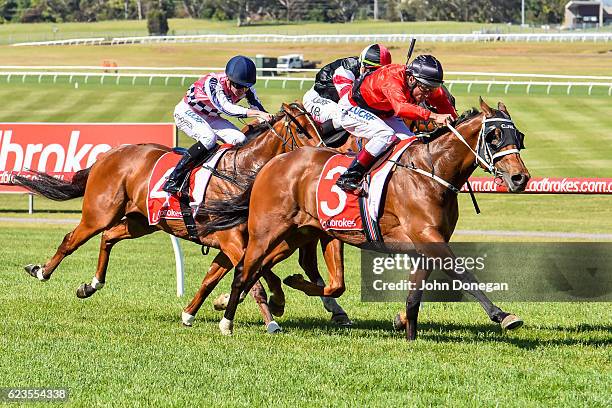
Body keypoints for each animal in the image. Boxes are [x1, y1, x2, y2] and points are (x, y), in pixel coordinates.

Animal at [14, 102, 356, 332]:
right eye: (302, 129)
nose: (328, 154)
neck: (241, 175)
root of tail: (110, 154)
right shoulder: (232, 240)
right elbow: (253, 275)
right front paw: (270, 316)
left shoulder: (236, 242)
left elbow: (223, 276)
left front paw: (195, 312)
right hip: (99, 212)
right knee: (71, 239)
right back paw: (41, 271)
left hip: (141, 222)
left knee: (109, 237)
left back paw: (92, 284)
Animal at [206, 97, 532, 340]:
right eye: (494, 136)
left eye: (519, 136)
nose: (520, 178)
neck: (431, 170)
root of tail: (272, 162)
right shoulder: (428, 236)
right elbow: (463, 273)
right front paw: (503, 315)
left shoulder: (424, 245)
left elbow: (414, 296)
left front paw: (409, 333)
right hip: (266, 230)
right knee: (244, 270)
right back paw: (228, 322)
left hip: (296, 234)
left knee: (263, 268)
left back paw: (281, 292)